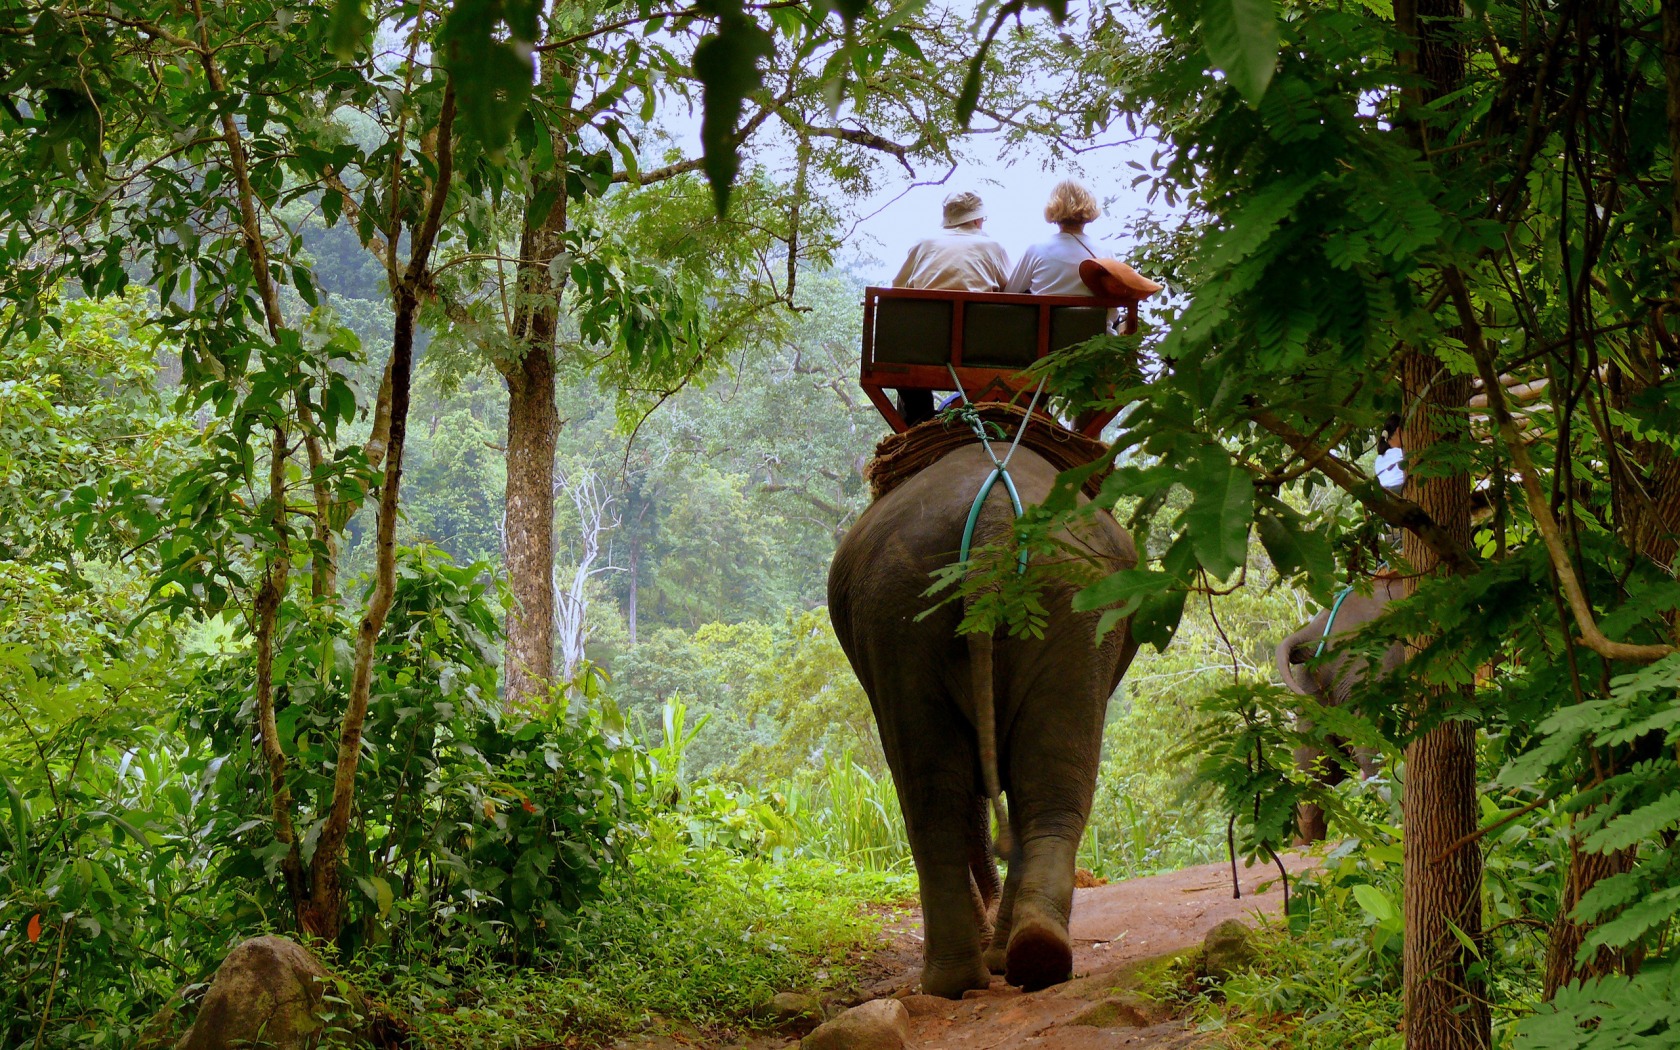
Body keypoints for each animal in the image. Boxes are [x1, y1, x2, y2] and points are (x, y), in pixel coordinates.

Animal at [829, 443, 1142, 1001]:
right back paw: (1016, 961)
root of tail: (997, 519)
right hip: (1057, 602)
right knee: (1026, 789)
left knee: (945, 795)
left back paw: (986, 969)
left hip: (915, 607)